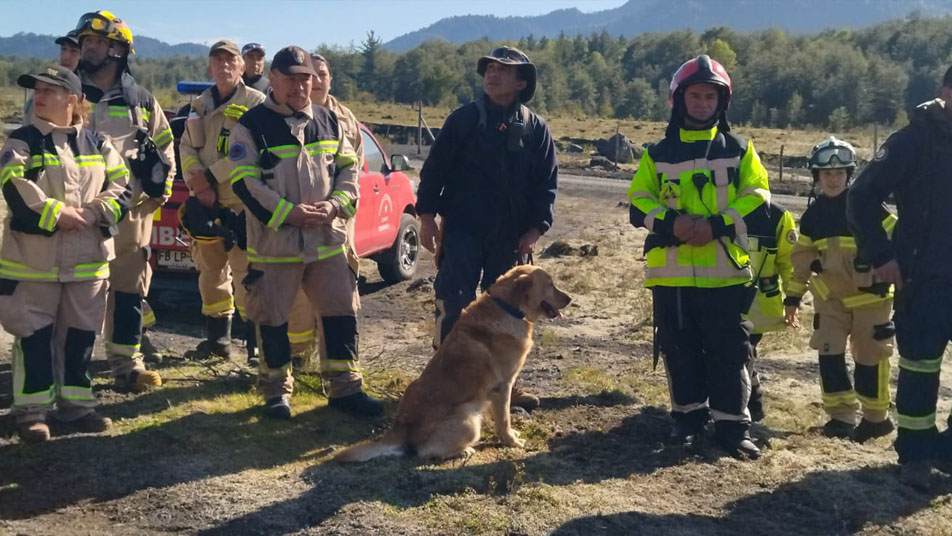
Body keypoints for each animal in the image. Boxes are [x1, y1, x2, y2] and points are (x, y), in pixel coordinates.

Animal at [336, 266, 572, 462]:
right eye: (550, 284)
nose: (569, 299)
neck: (507, 307)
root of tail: (399, 428)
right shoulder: (503, 386)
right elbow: (504, 420)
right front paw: (511, 441)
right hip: (469, 421)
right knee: (425, 452)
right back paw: (463, 451)